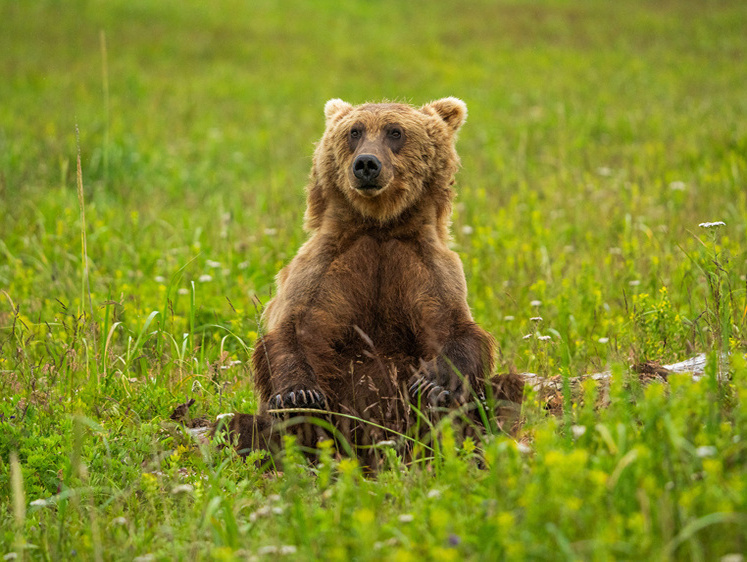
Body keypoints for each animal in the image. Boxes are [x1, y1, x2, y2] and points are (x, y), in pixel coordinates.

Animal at [240, 98, 520, 462]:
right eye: (354, 131)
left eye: (395, 132)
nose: (366, 164)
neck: (380, 223)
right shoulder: (325, 267)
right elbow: (295, 332)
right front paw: (298, 395)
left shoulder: (425, 267)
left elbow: (454, 329)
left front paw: (435, 385)